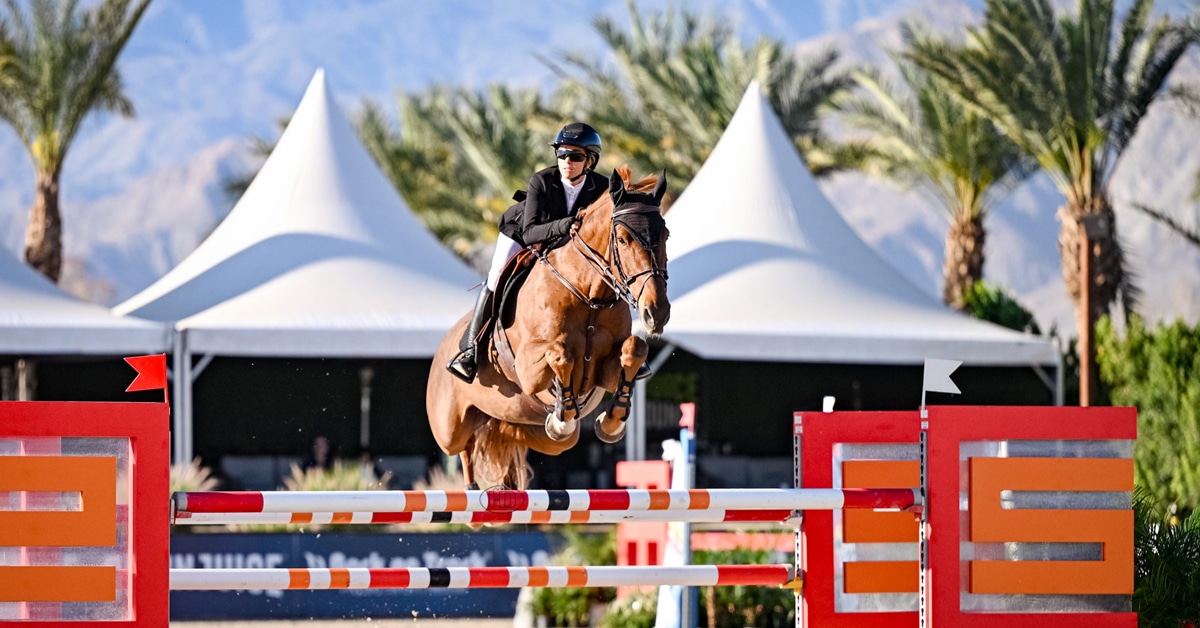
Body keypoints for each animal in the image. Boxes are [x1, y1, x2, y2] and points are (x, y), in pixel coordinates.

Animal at [427, 167, 670, 490]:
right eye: (622, 239)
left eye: (666, 235)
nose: (657, 313)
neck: (589, 296)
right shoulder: (528, 369)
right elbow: (560, 354)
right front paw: (562, 415)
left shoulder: (604, 370)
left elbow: (635, 348)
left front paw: (611, 421)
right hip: (449, 428)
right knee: (462, 447)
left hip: (541, 436)